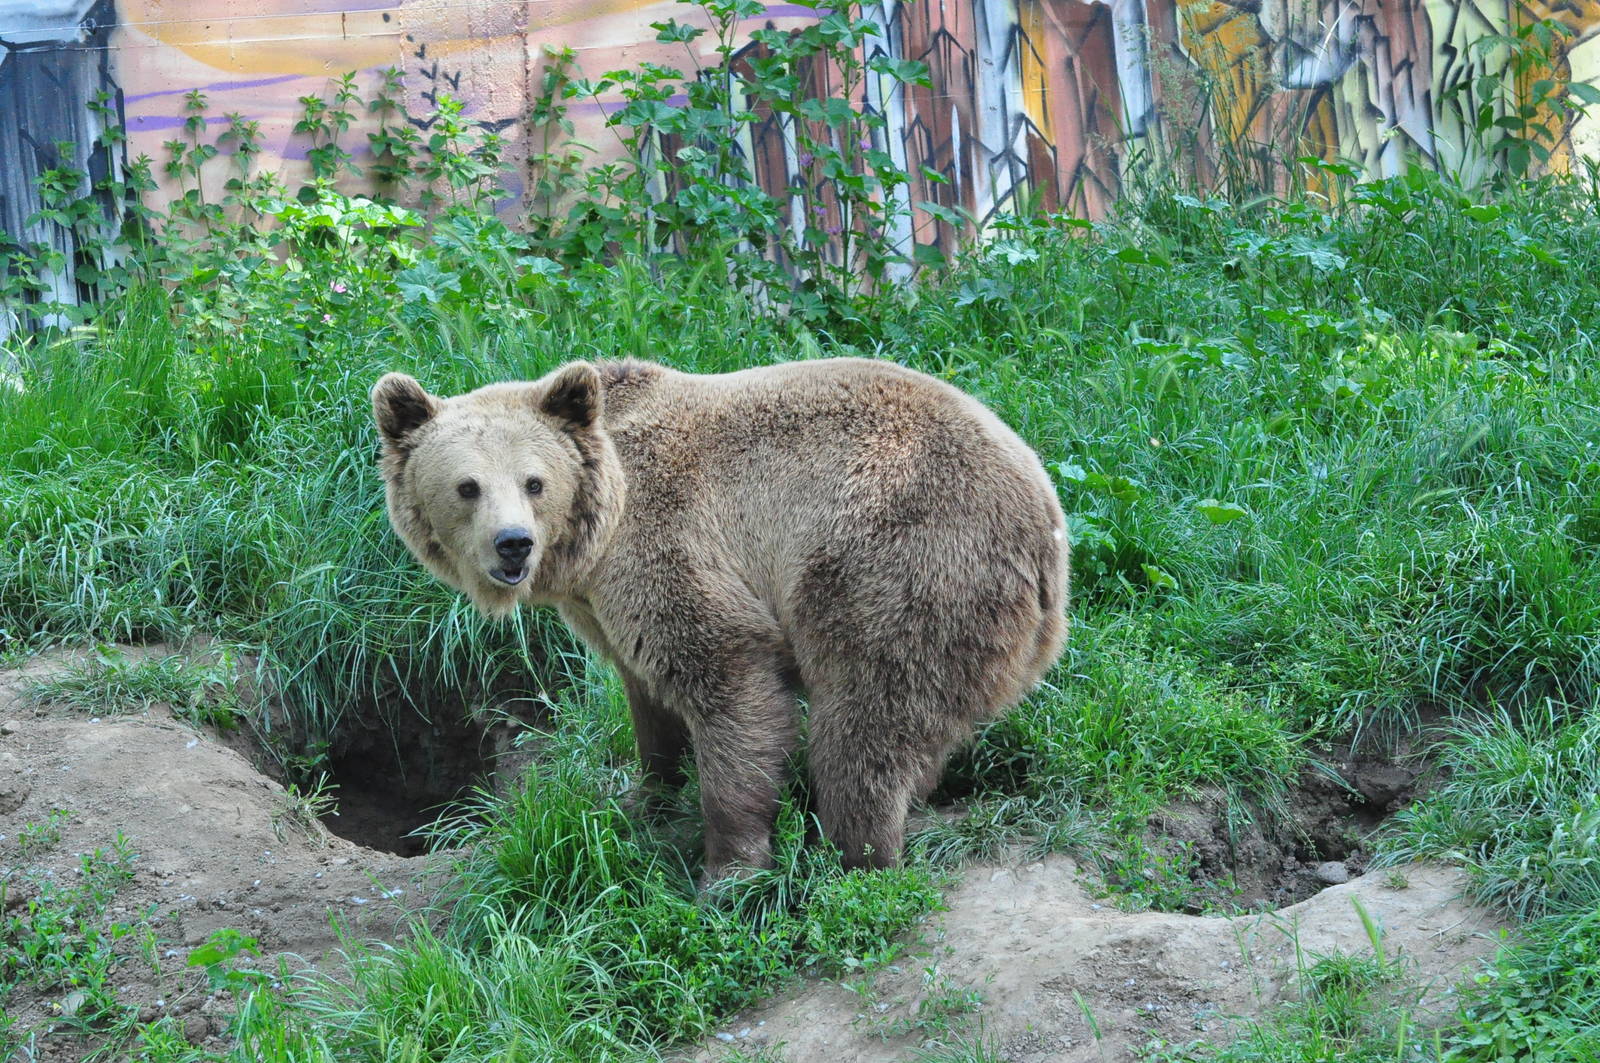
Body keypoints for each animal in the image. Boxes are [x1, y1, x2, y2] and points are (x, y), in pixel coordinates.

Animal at [372, 357, 1068, 882]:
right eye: (467, 486)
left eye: (534, 481)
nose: (512, 544)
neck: (591, 542)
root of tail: (1048, 524)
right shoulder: (600, 607)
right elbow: (647, 701)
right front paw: (643, 799)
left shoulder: (670, 541)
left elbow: (728, 678)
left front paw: (727, 869)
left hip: (893, 559)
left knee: (866, 717)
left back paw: (854, 854)